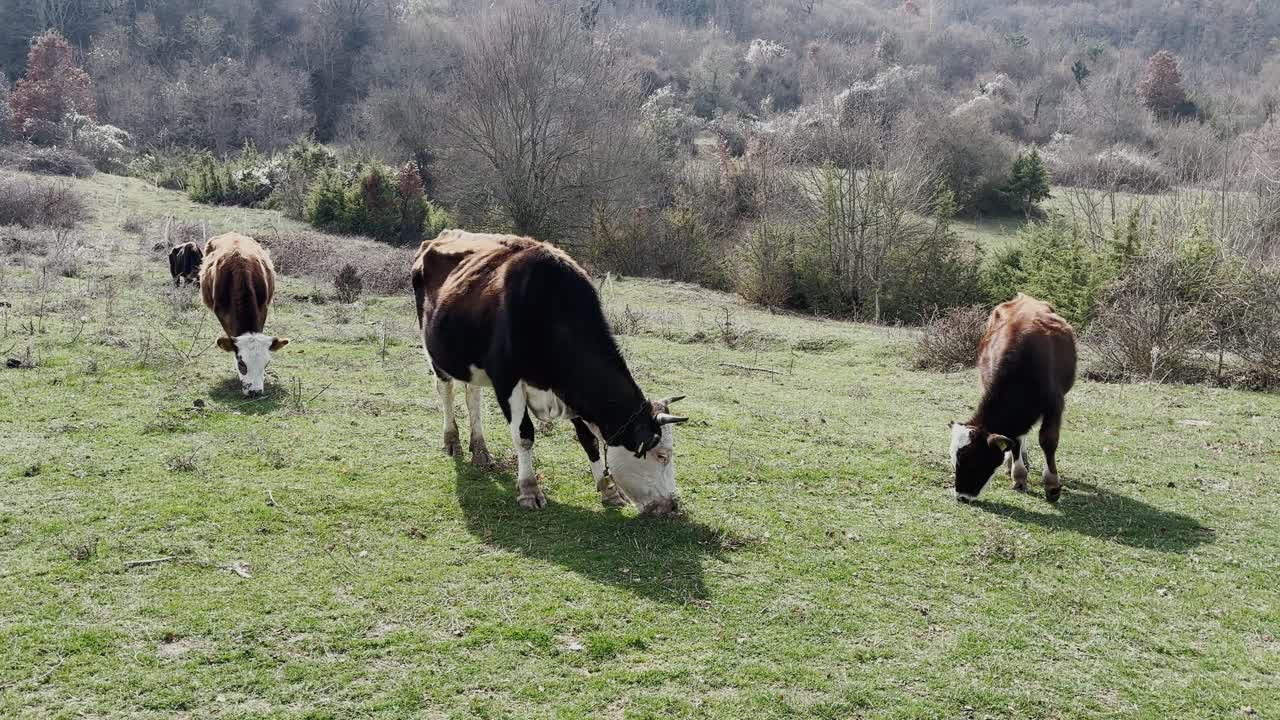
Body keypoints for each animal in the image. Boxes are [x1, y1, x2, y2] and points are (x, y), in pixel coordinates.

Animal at [412, 230, 689, 517]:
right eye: (662, 455)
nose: (673, 505)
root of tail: (442, 236)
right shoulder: (508, 382)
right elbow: (524, 435)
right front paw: (529, 490)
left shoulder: (570, 390)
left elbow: (589, 440)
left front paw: (608, 490)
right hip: (436, 352)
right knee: (446, 391)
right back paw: (452, 441)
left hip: (470, 363)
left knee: (473, 397)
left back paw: (480, 449)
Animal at [949, 293, 1077, 503]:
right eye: (954, 460)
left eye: (973, 460)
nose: (962, 496)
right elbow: (1015, 440)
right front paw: (1019, 476)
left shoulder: (1055, 404)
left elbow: (1048, 440)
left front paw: (1052, 485)